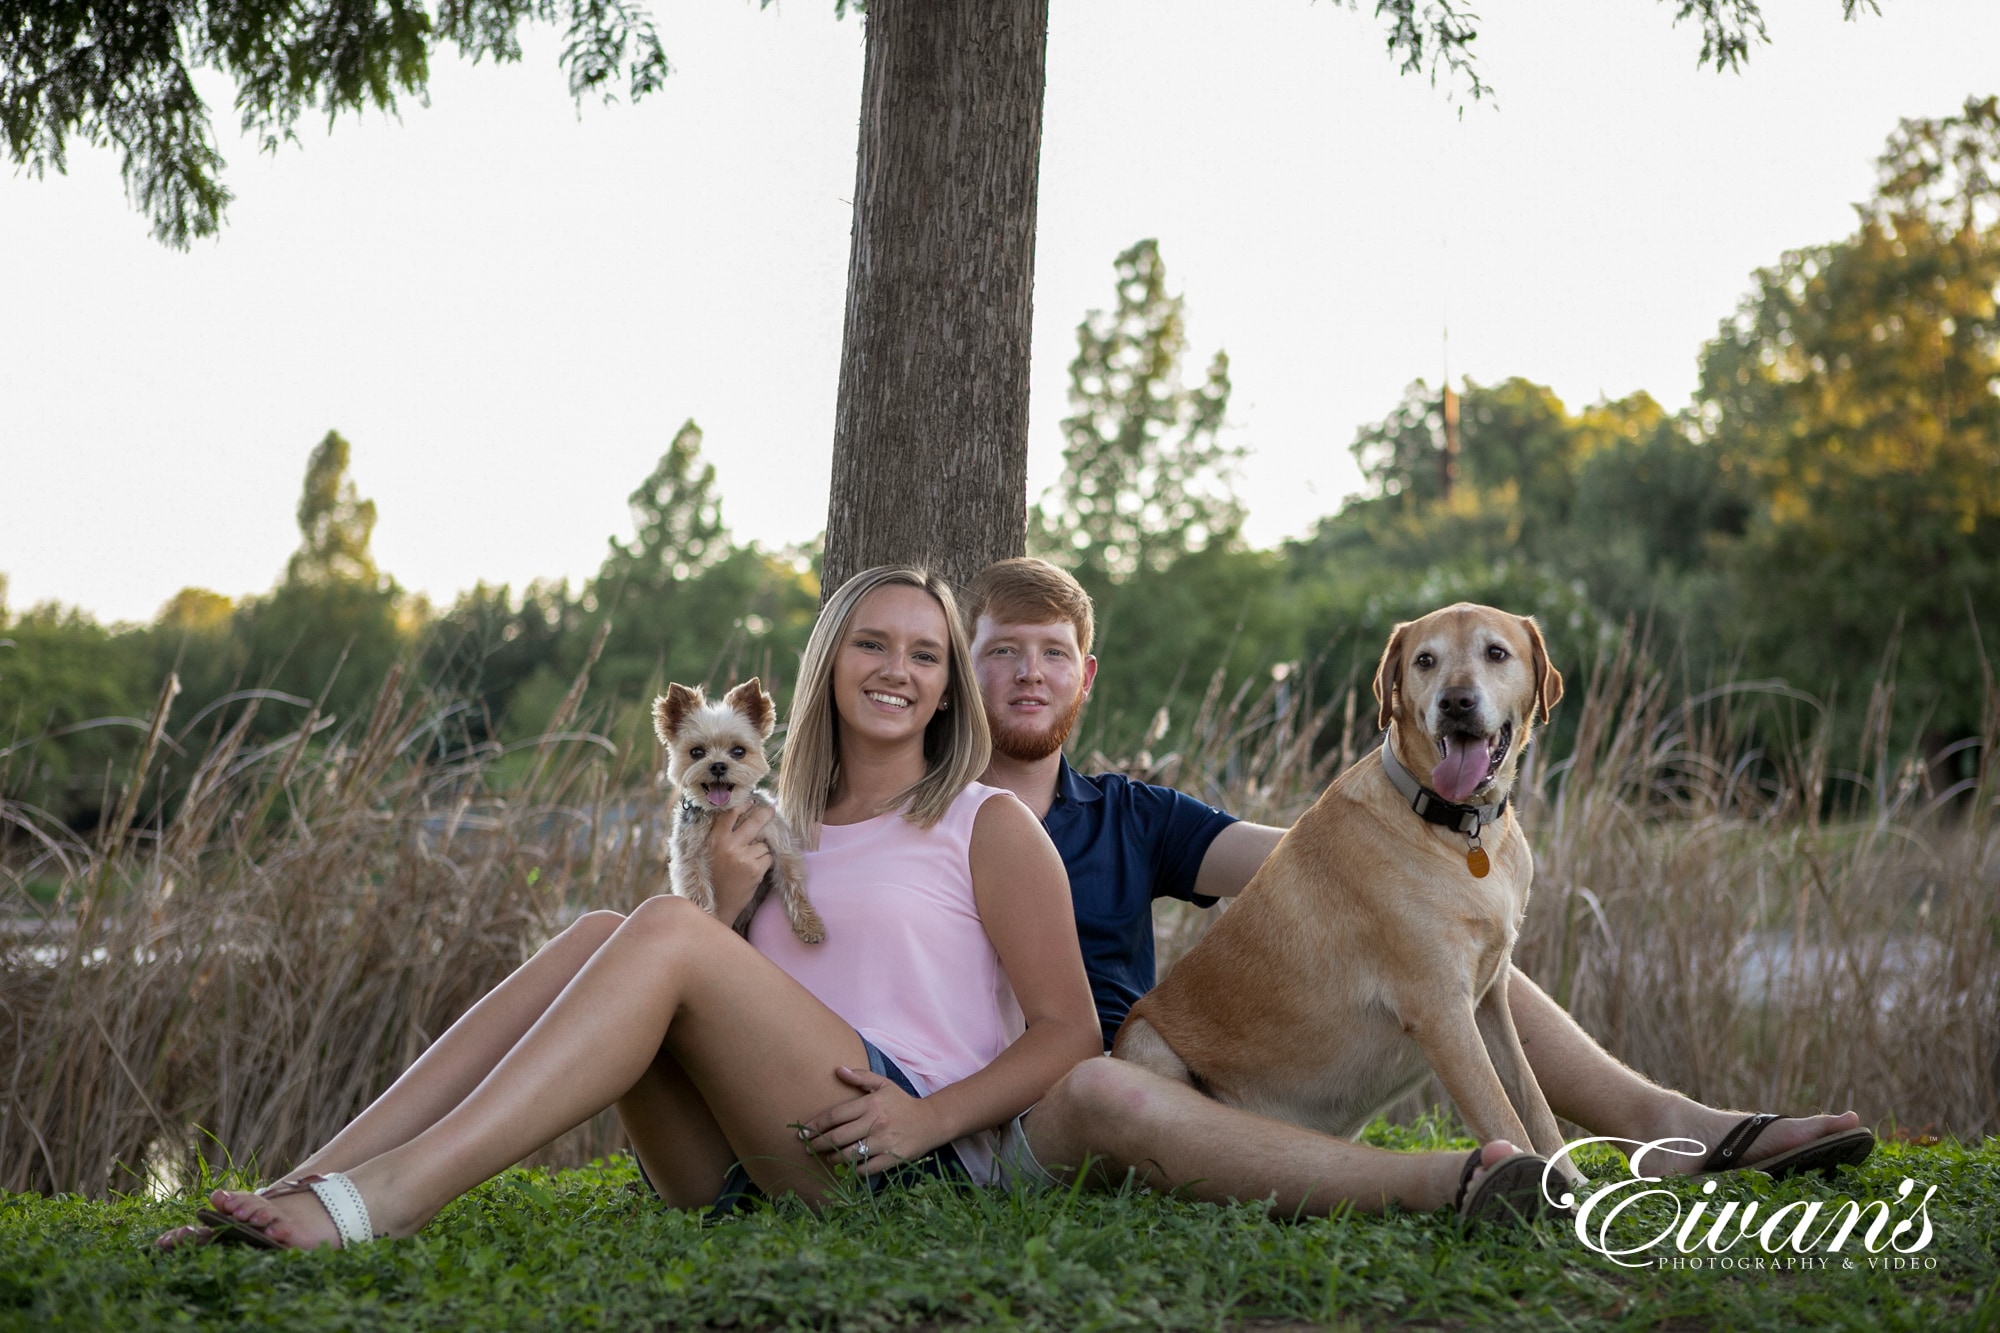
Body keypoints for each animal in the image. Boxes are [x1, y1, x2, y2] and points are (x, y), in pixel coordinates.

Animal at [652, 680, 816, 940]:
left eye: (738, 751)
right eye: (696, 752)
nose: (718, 766)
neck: (722, 811)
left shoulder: (779, 842)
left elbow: (792, 879)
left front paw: (810, 925)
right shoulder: (689, 856)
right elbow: (698, 891)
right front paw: (707, 921)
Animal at [1112, 600, 1576, 1176]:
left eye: (1496, 653)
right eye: (1425, 660)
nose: (1456, 702)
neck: (1460, 830)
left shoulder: (1490, 998)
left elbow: (1534, 1103)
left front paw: (1575, 1182)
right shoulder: (1442, 1011)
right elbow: (1502, 1115)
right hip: (1146, 1045)